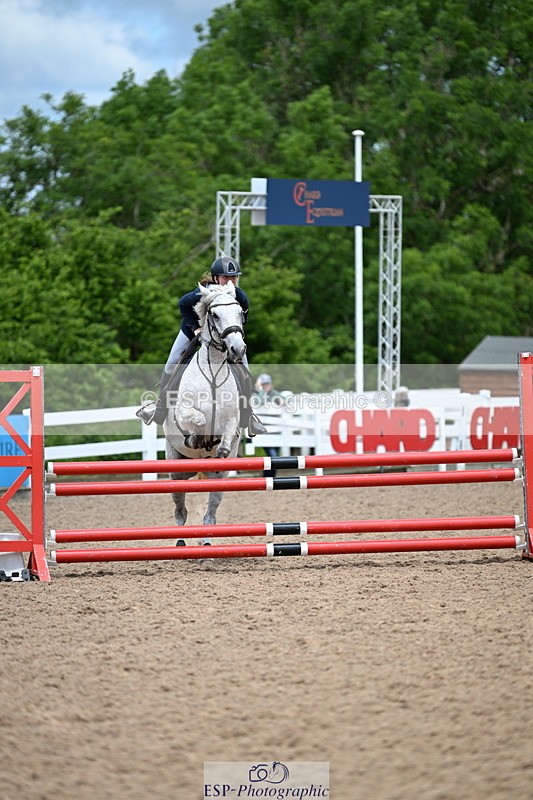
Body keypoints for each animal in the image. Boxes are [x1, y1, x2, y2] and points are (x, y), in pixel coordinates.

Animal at [163, 282, 246, 539]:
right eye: (215, 315)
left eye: (240, 313)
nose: (237, 349)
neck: (213, 373)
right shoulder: (182, 412)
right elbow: (197, 419)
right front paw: (197, 439)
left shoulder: (232, 420)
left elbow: (227, 437)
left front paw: (220, 449)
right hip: (175, 471)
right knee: (180, 510)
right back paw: (181, 541)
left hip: (215, 482)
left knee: (211, 513)